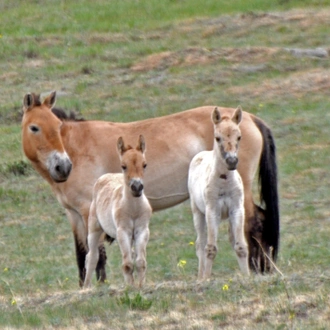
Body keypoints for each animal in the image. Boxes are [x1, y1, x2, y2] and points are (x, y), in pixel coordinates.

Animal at [84, 135, 153, 288]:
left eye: (145, 164)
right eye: (123, 166)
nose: (137, 187)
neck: (133, 210)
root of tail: (104, 176)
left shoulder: (142, 231)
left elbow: (141, 262)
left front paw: (141, 285)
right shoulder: (122, 232)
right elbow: (127, 264)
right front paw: (130, 287)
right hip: (94, 229)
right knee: (91, 257)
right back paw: (85, 288)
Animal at [188, 107, 248, 280]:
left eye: (239, 136)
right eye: (217, 137)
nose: (232, 161)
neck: (224, 182)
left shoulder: (237, 209)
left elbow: (241, 246)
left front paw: (248, 276)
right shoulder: (212, 211)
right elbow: (210, 248)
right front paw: (207, 279)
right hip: (197, 212)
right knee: (200, 244)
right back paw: (200, 277)